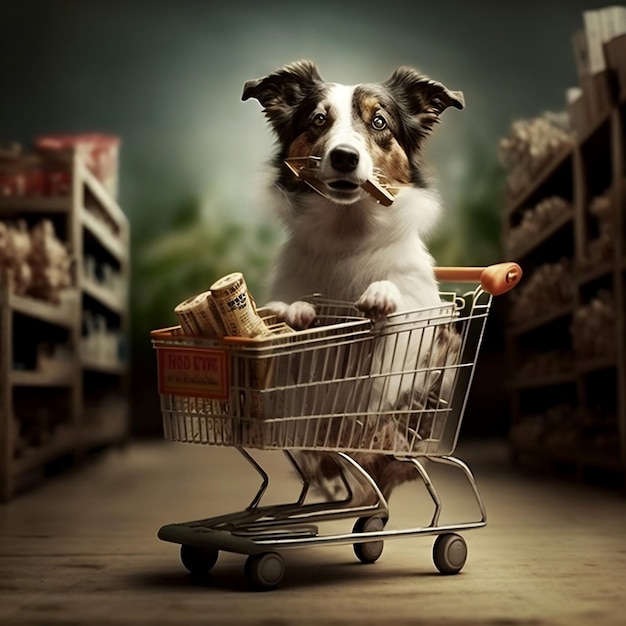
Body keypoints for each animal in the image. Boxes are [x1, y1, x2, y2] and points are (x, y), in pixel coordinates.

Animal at [241, 59, 460, 502]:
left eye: (379, 121)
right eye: (318, 119)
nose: (344, 157)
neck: (347, 236)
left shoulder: (420, 326)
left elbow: (396, 319)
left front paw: (381, 296)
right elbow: (289, 324)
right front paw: (297, 312)